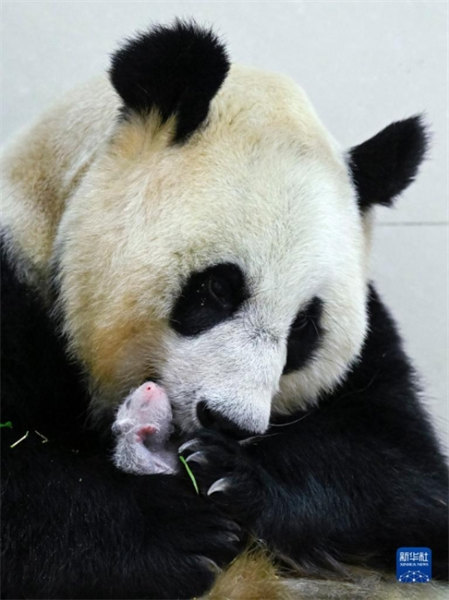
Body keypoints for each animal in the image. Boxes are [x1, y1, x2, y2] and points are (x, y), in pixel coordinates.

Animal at [1, 19, 446, 600]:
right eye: (217, 288)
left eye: (304, 326)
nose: (229, 422)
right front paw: (175, 532)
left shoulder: (373, 350)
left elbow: (404, 468)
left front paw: (227, 474)